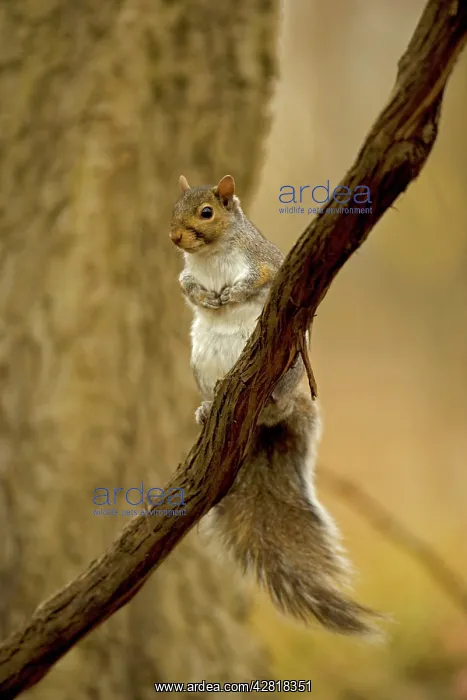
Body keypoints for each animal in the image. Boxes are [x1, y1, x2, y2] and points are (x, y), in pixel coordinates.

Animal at [170, 174, 381, 635]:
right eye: (173, 207)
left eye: (206, 212)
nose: (174, 237)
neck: (210, 255)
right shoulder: (186, 275)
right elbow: (188, 288)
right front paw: (208, 297)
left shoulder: (264, 262)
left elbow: (260, 277)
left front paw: (232, 292)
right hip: (200, 361)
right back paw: (207, 408)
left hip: (285, 372)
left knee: (277, 401)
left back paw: (265, 398)